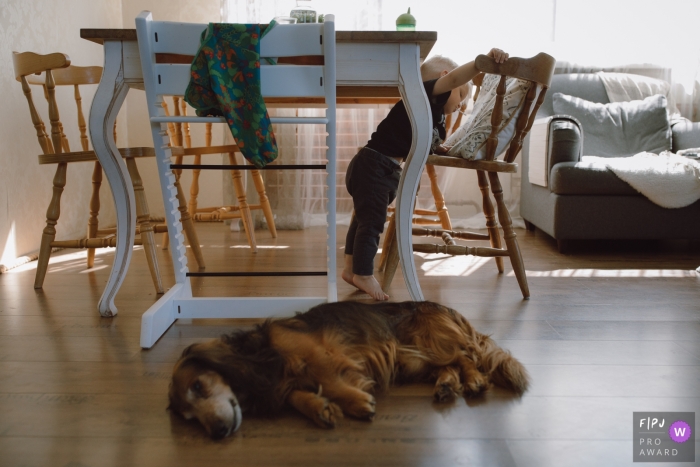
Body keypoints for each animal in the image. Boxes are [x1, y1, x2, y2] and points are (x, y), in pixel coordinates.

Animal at [167, 302, 528, 440]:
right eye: (189, 417)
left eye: (199, 386)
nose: (217, 433)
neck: (258, 355)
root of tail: (447, 308)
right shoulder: (281, 383)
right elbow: (298, 395)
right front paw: (319, 408)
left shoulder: (321, 353)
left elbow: (329, 380)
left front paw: (355, 402)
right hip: (411, 359)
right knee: (450, 366)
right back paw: (446, 386)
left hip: (429, 340)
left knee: (466, 357)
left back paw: (475, 380)